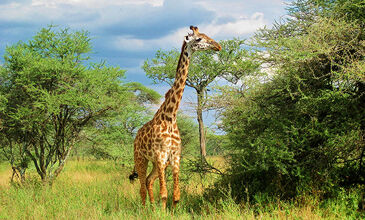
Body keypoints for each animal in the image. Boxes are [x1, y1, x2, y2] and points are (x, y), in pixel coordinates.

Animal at [129, 25, 220, 210]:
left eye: (206, 35)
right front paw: (162, 212)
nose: (217, 46)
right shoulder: (160, 154)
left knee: (148, 181)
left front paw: (167, 212)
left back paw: (151, 208)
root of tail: (135, 137)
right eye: (199, 39)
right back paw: (144, 210)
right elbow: (164, 194)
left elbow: (176, 195)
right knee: (142, 187)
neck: (170, 116)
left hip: (157, 164)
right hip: (141, 159)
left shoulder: (175, 156)